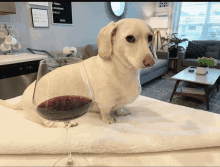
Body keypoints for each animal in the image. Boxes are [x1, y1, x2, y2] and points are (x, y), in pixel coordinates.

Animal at [0, 18, 157, 127]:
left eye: (150, 37)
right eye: (130, 38)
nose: (151, 62)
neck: (123, 70)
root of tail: (21, 99)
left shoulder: (119, 102)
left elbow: (119, 107)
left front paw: (121, 112)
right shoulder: (104, 103)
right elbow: (106, 112)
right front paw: (109, 119)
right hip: (43, 114)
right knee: (49, 123)